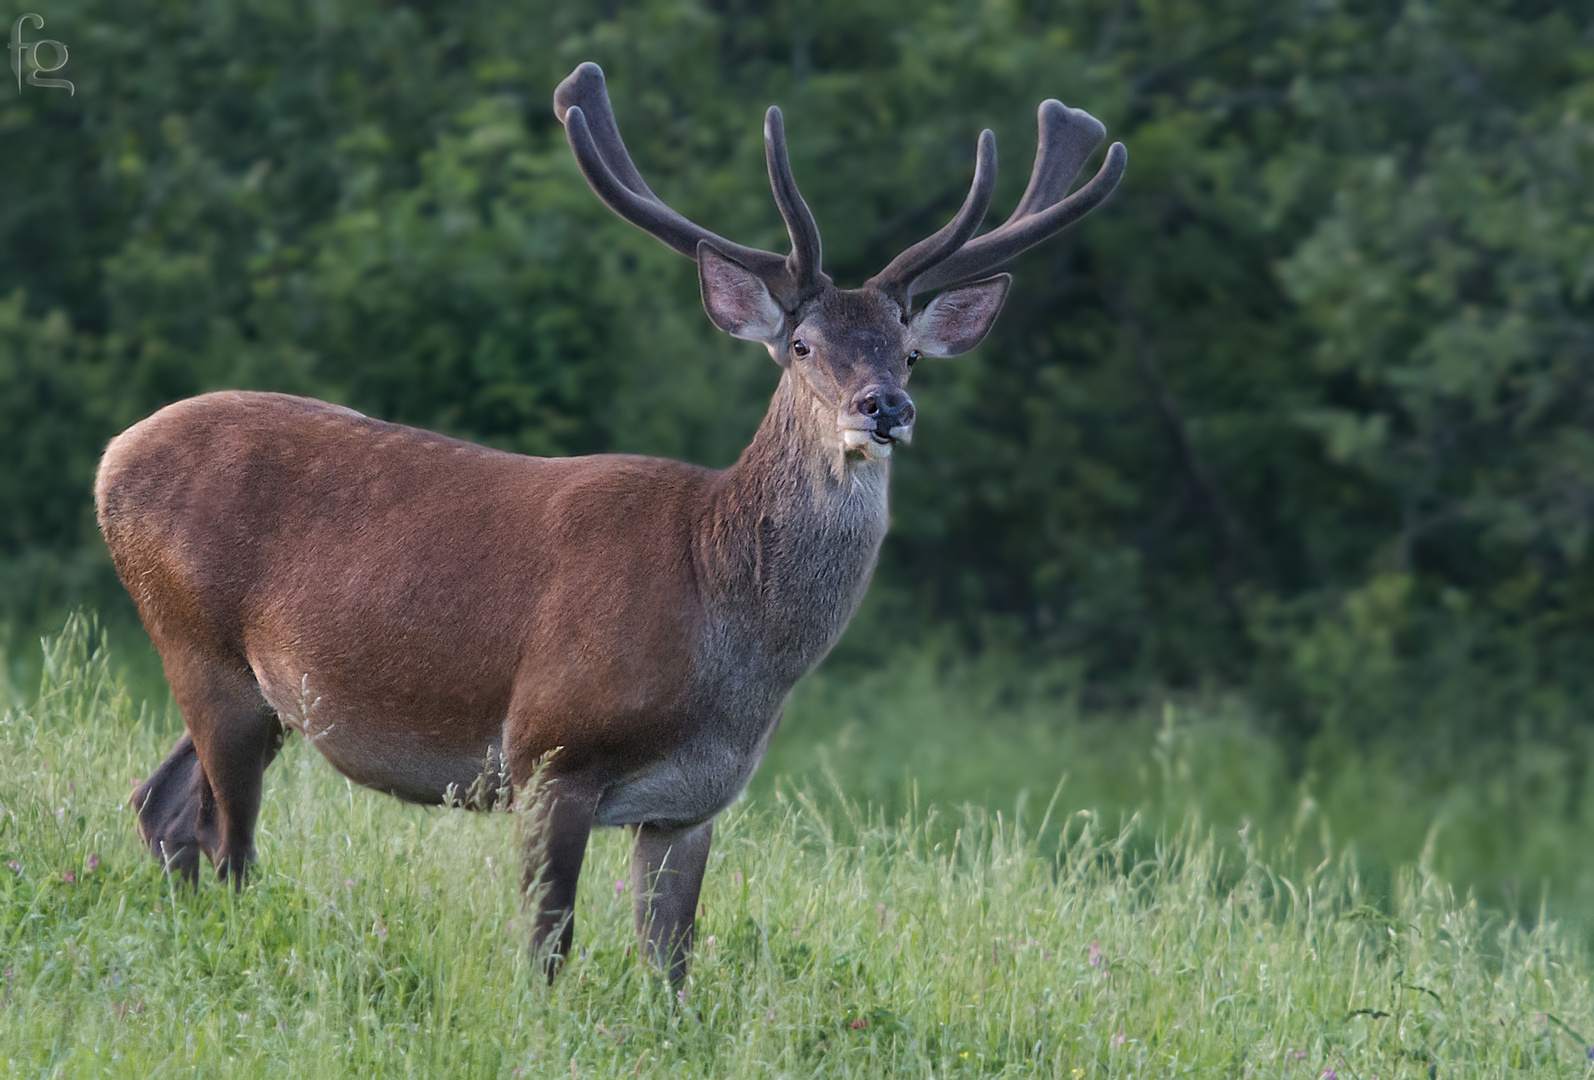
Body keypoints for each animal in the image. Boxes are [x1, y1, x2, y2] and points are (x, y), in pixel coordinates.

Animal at [93, 61, 1128, 987]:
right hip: (199, 644)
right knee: (226, 841)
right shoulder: (551, 748)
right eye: (802, 345)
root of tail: (110, 457)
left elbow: (670, 967)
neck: (729, 634)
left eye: (909, 351)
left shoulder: (693, 804)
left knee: (164, 805)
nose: (885, 408)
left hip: (253, 687)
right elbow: (548, 949)